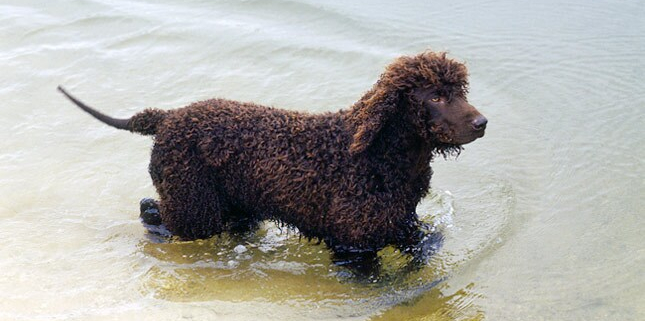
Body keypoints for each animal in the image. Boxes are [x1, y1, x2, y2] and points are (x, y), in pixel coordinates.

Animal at [60, 50, 486, 255]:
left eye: (459, 91)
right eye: (435, 96)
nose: (482, 122)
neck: (382, 157)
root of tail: (168, 117)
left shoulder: (402, 224)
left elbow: (425, 248)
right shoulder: (354, 242)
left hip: (228, 204)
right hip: (195, 205)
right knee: (153, 212)